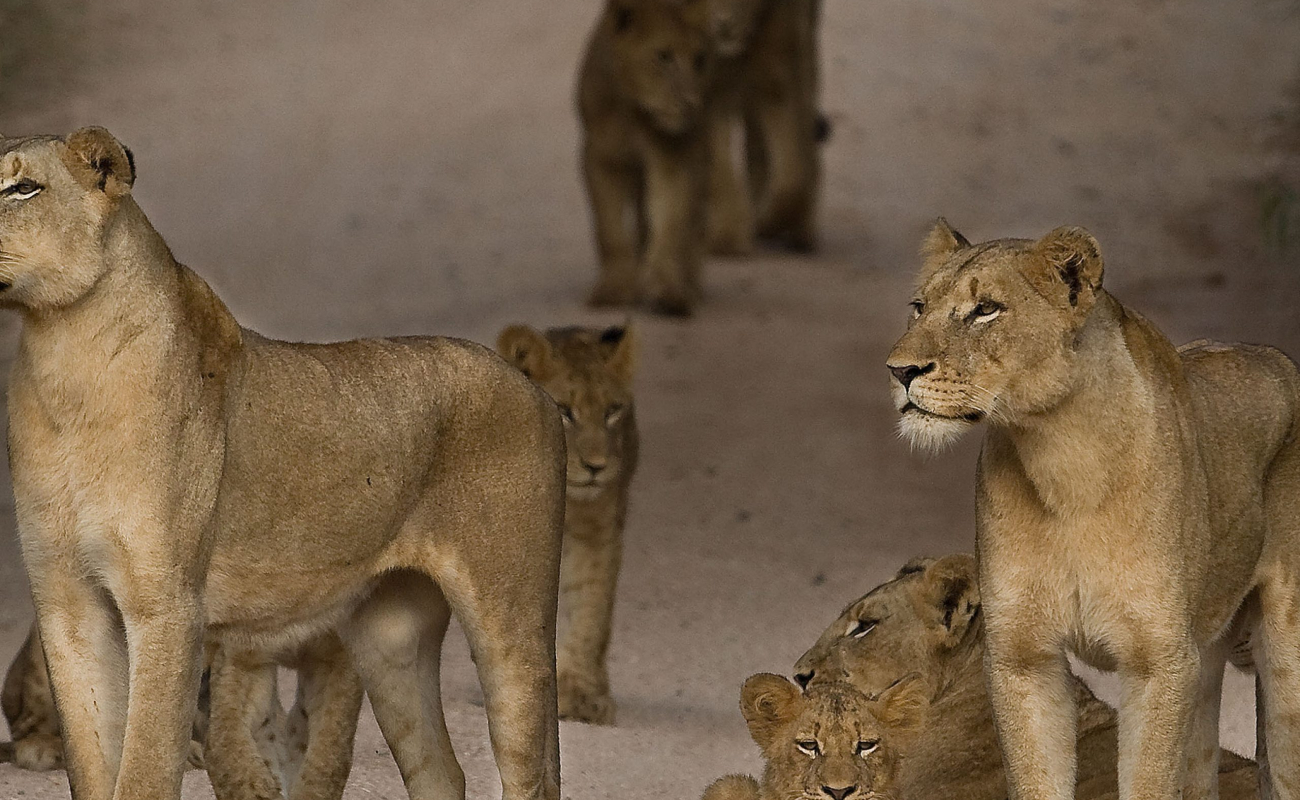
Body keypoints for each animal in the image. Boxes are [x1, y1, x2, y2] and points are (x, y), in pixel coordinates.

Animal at [0, 128, 566, 800]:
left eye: (22, 187)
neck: (64, 363)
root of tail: (536, 391)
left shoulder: (168, 606)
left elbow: (144, 770)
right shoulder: (67, 603)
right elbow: (92, 766)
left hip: (512, 624)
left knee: (531, 773)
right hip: (389, 640)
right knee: (440, 771)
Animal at [497, 323, 639, 725]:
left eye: (612, 411)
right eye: (564, 411)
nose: (596, 466)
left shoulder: (597, 536)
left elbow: (591, 612)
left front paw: (580, 694)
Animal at [577, 0, 713, 316]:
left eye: (699, 59)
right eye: (663, 57)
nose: (692, 104)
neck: (633, 112)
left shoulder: (672, 155)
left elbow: (669, 223)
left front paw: (669, 290)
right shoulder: (600, 157)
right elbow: (610, 229)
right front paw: (615, 288)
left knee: (689, 225)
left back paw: (689, 283)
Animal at [704, 0, 823, 255]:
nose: (722, 24)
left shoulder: (778, 77)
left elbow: (791, 180)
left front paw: (765, 222)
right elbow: (720, 166)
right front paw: (726, 237)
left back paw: (803, 230)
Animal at [885, 220, 1300, 800]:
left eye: (985, 309)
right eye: (918, 307)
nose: (899, 371)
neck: (1064, 459)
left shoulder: (1160, 662)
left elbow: (1147, 782)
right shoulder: (1023, 657)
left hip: (1284, 663)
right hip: (1205, 659)